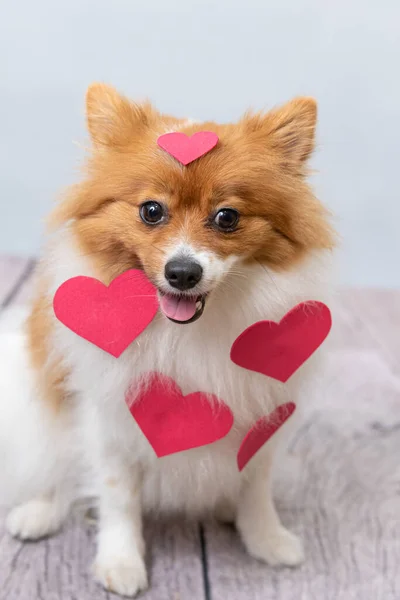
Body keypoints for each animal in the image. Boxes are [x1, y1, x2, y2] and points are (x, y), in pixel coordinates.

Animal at [2, 83, 334, 596]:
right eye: (151, 211)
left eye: (227, 217)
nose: (182, 272)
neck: (189, 332)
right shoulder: (110, 419)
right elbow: (117, 496)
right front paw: (120, 561)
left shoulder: (263, 415)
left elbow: (255, 488)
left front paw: (266, 539)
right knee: (57, 470)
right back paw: (39, 512)